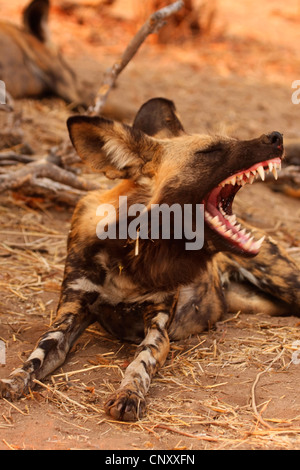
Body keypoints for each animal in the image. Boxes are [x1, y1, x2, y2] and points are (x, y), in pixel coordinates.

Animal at [0, 97, 300, 420]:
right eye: (210, 150)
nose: (277, 136)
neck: (130, 258)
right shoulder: (69, 315)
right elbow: (36, 357)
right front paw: (14, 381)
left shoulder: (158, 327)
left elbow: (140, 362)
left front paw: (129, 394)